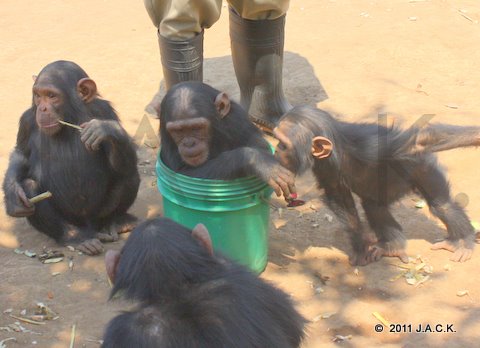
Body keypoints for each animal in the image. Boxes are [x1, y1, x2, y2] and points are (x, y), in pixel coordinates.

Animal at [2, 60, 141, 256]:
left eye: (51, 96)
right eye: (38, 95)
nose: (42, 108)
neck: (70, 117)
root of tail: (89, 225)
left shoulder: (104, 110)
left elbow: (117, 157)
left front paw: (106, 129)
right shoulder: (27, 120)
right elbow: (21, 154)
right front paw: (13, 195)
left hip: (99, 213)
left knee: (128, 172)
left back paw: (118, 221)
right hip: (72, 220)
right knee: (29, 186)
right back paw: (76, 237)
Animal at [160, 81, 296, 200]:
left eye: (196, 128)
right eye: (178, 131)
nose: (189, 143)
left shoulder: (236, 117)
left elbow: (259, 144)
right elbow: (182, 172)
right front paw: (259, 161)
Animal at [274, 104, 480, 266]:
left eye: (283, 144)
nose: (276, 149)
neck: (339, 148)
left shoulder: (373, 146)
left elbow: (419, 141)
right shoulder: (324, 166)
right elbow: (338, 195)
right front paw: (361, 247)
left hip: (422, 166)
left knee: (442, 205)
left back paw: (461, 241)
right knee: (374, 207)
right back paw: (393, 246)